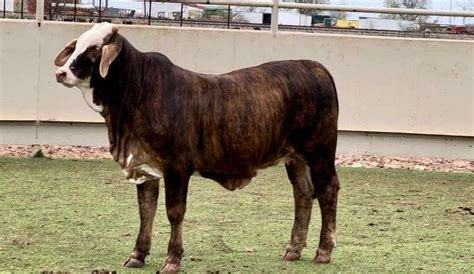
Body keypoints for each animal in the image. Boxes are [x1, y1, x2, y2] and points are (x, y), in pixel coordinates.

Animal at [53, 23, 338, 272]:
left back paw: (323, 251)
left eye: (95, 49)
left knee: (327, 192)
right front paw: (137, 255)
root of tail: (315, 66)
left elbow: (174, 212)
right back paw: (294, 249)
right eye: (77, 46)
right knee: (303, 193)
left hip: (320, 152)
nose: (61, 73)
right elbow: (146, 211)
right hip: (295, 157)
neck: (139, 92)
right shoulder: (145, 166)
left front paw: (172, 260)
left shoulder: (177, 167)